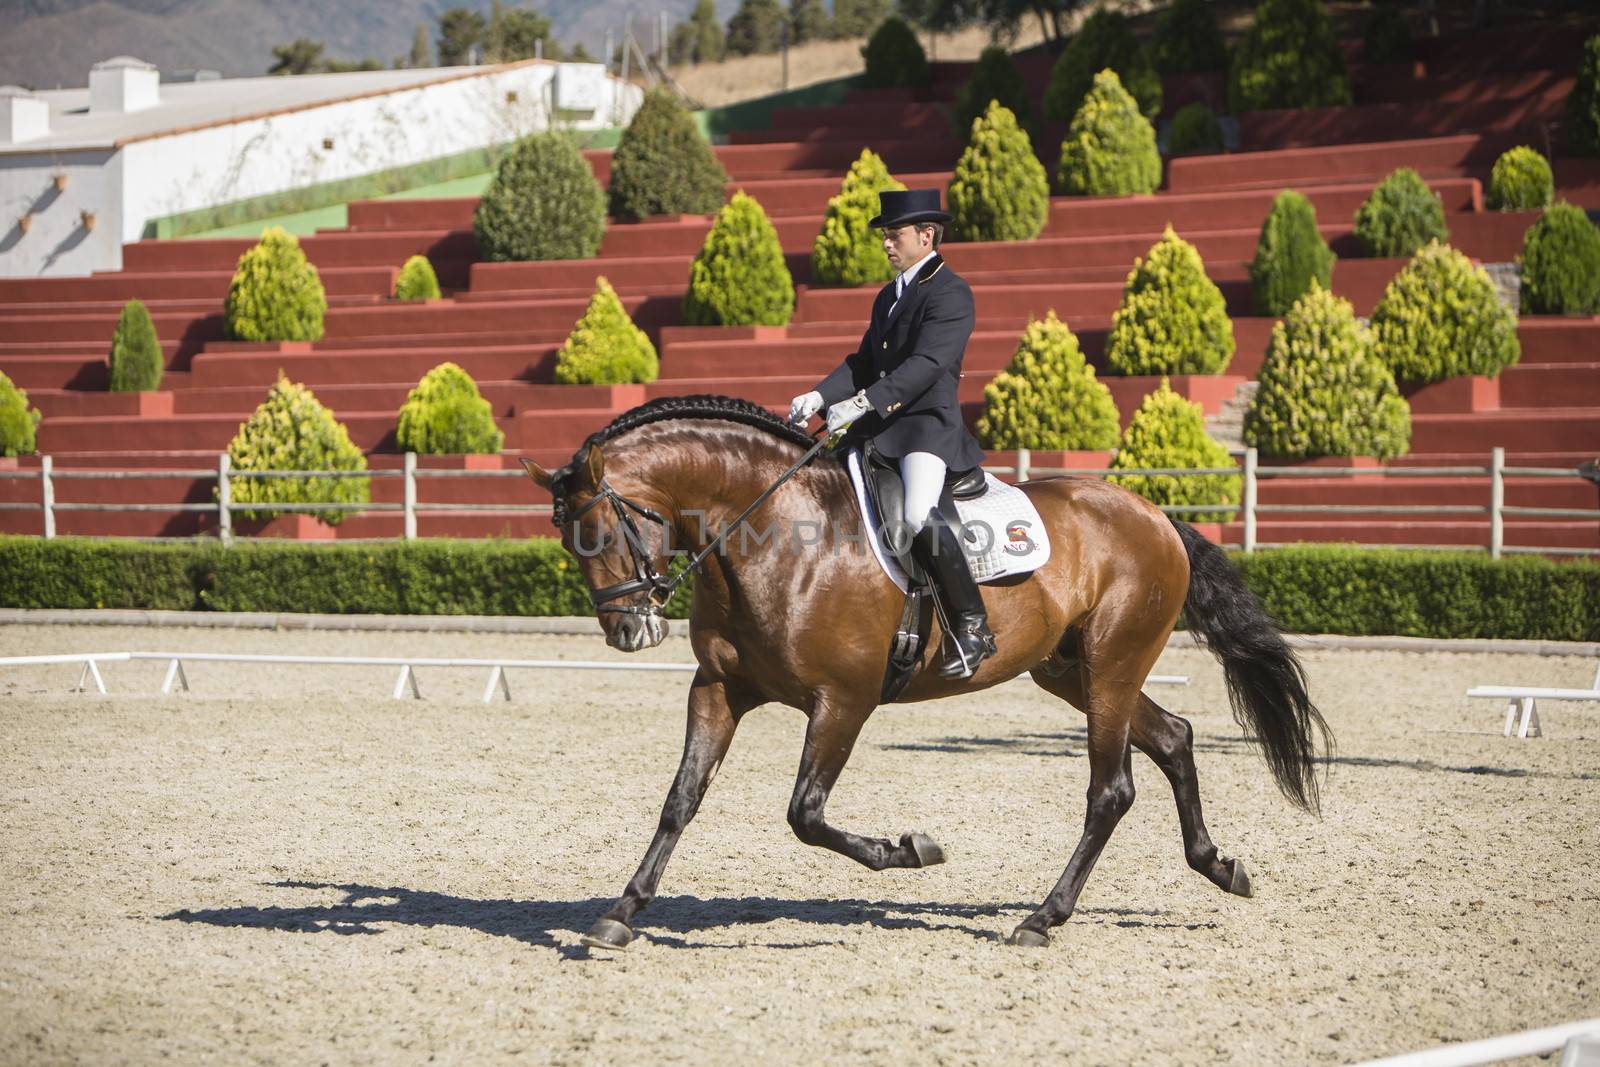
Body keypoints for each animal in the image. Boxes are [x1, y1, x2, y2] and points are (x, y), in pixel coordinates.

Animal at [521, 395, 1324, 953]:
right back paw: (1219, 866)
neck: (775, 538)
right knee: (1176, 737)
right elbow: (680, 800)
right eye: (566, 538)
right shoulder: (719, 689)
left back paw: (1042, 918)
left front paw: (909, 850)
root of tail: (1155, 515)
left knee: (1112, 789)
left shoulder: (843, 701)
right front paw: (622, 911)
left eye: (601, 530)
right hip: (1071, 671)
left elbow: (805, 814)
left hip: (1113, 666)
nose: (628, 631)